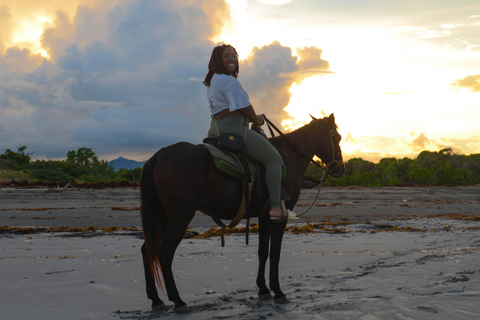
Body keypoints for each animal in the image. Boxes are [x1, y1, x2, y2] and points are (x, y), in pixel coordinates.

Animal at [139, 113, 344, 312]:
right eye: (338, 137)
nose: (341, 169)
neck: (288, 158)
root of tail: (158, 156)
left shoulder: (265, 216)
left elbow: (263, 251)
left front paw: (263, 289)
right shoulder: (280, 218)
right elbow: (275, 254)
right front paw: (278, 291)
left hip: (163, 217)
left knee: (147, 250)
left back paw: (156, 299)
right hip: (180, 218)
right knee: (164, 252)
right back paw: (178, 301)